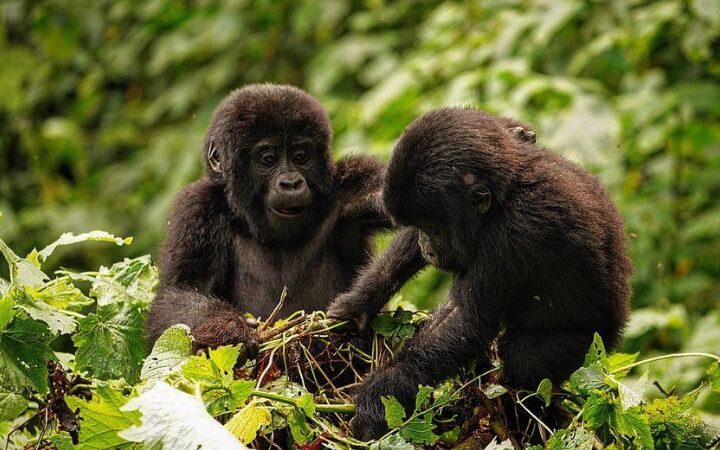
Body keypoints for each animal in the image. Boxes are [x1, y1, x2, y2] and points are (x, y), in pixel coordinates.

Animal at [146, 84, 391, 355]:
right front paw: (227, 327)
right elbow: (181, 290)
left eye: (301, 156)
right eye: (268, 159)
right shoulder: (197, 207)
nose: (291, 183)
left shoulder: (352, 184)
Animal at [327, 107, 632, 440]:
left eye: (434, 229)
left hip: (591, 347)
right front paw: (360, 303)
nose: (427, 246)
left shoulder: (513, 233)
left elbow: (469, 320)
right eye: (420, 227)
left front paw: (382, 391)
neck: (507, 194)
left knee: (525, 360)